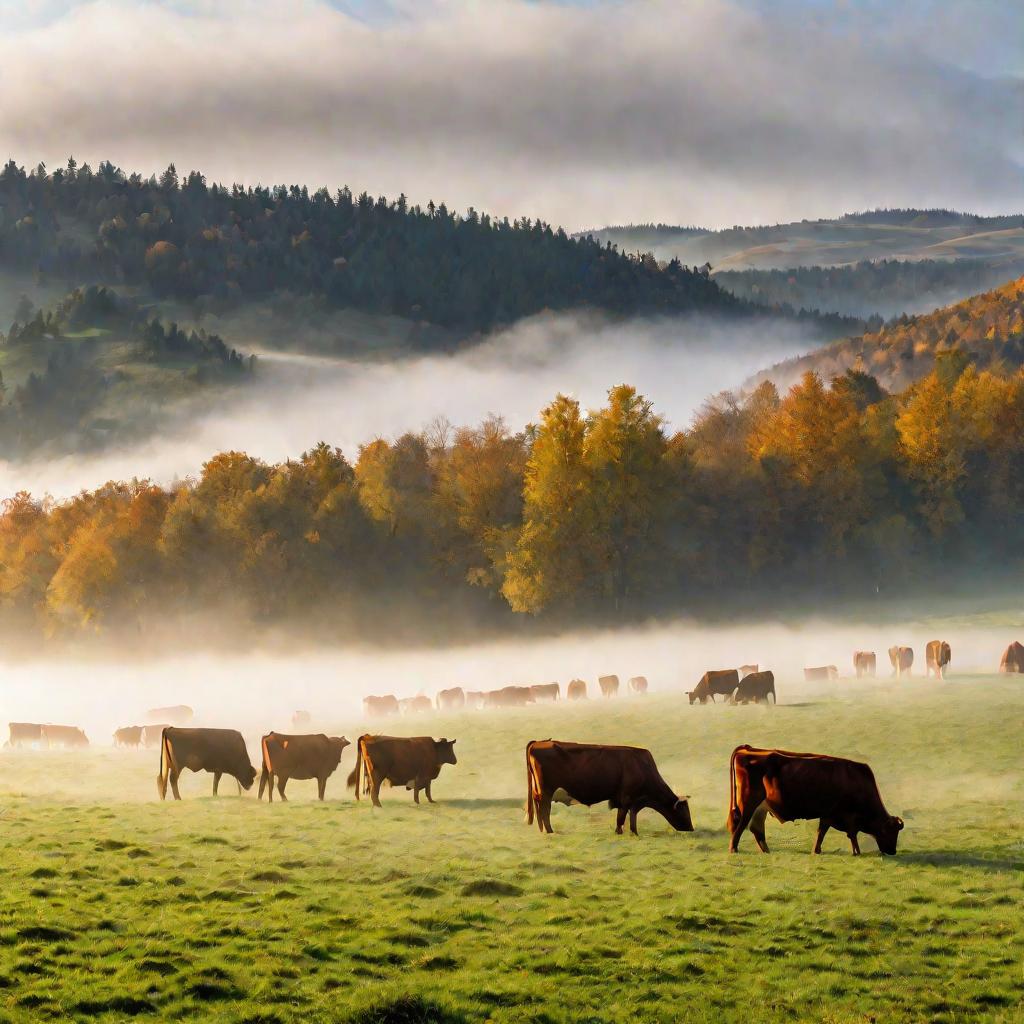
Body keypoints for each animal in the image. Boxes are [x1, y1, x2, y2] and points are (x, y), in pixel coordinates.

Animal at [524, 741, 692, 835]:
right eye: (684, 811)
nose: (691, 828)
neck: (642, 765)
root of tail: (538, 743)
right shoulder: (626, 798)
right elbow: (621, 817)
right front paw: (620, 832)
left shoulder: (633, 801)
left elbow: (631, 816)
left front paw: (634, 832)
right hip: (546, 792)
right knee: (545, 810)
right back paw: (550, 831)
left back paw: (543, 830)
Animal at [729, 745, 905, 856]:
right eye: (889, 831)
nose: (892, 851)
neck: (855, 780)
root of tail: (747, 748)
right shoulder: (835, 814)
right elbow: (839, 833)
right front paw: (856, 852)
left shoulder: (833, 816)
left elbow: (828, 832)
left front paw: (818, 850)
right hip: (749, 803)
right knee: (741, 825)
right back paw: (733, 849)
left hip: (761, 808)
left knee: (756, 828)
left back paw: (766, 851)